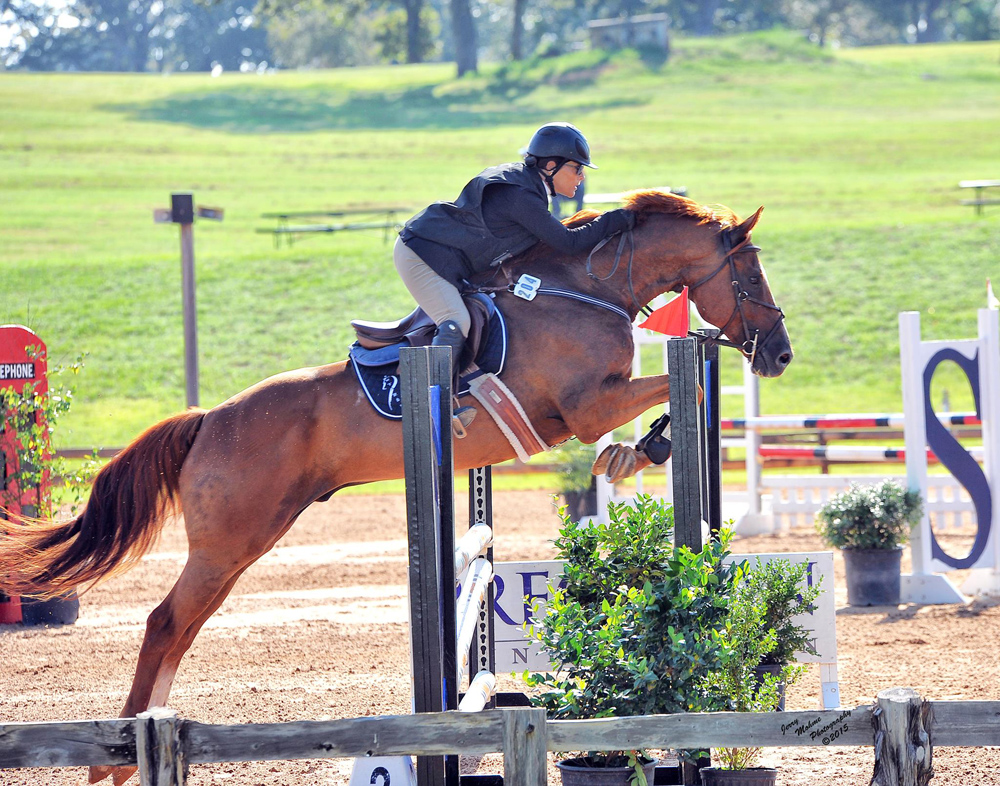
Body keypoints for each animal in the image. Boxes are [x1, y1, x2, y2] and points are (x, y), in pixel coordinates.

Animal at [0, 189, 791, 785]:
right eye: (751, 277)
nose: (780, 356)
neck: (583, 290)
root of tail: (207, 419)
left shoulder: (585, 408)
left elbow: (674, 390)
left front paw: (633, 452)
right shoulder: (585, 404)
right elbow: (678, 387)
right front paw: (641, 448)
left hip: (244, 541)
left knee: (181, 627)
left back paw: (140, 740)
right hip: (232, 538)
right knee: (166, 622)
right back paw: (117, 757)